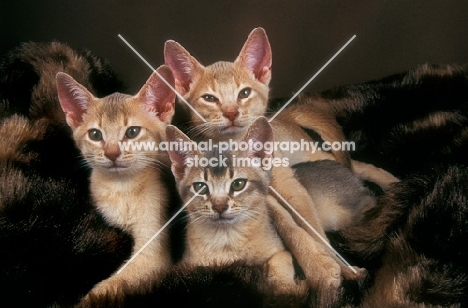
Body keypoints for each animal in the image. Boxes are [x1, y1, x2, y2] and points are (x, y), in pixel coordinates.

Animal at [55, 64, 176, 296]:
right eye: (95, 134)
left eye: (132, 132)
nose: (111, 153)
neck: (121, 189)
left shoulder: (152, 254)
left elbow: (110, 286)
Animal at [165, 116, 308, 294]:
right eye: (200, 187)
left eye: (238, 184)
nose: (219, 206)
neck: (228, 240)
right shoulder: (187, 266)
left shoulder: (282, 251)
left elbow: (281, 261)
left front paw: (284, 288)